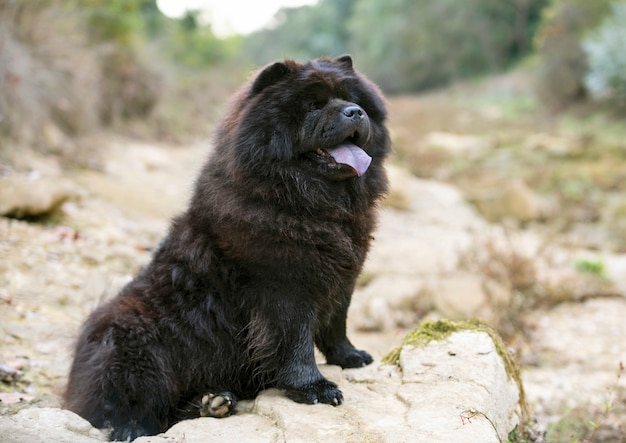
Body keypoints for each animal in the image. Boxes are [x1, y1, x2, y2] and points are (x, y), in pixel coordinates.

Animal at [63, 55, 388, 440]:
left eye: (354, 100)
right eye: (313, 105)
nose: (355, 113)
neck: (311, 205)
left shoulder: (342, 279)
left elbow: (336, 325)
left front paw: (350, 357)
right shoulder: (284, 291)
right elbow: (294, 345)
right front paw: (315, 388)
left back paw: (214, 401)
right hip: (134, 346)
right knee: (131, 407)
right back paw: (134, 426)